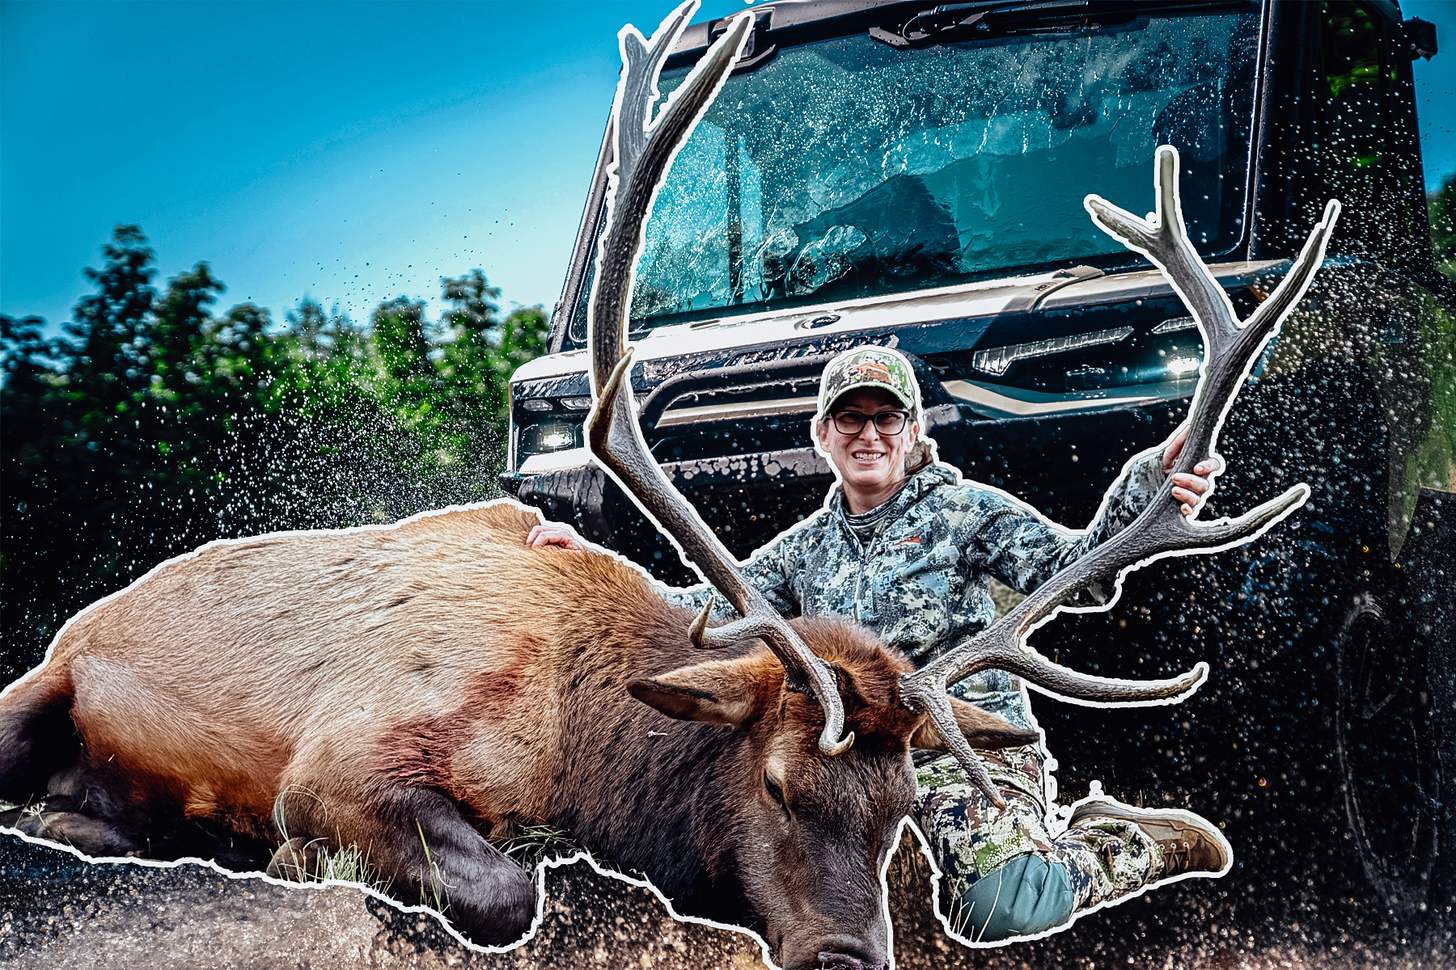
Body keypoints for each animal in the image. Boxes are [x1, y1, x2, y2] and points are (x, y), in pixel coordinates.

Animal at [0, 4, 1337, 969]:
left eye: (904, 806)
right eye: (777, 783)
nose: (847, 955)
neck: (585, 746)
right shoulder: (342, 753)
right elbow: (499, 887)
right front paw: (288, 865)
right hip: (40, 680)